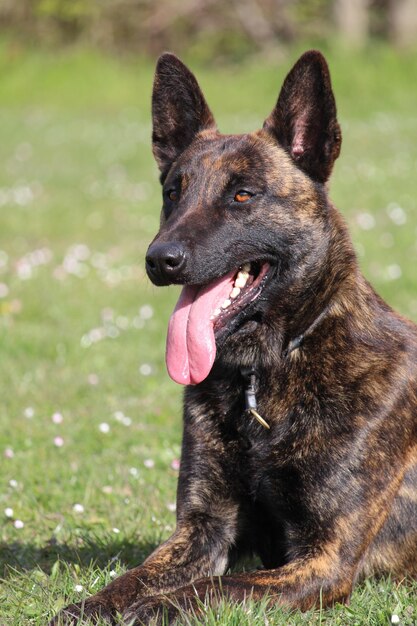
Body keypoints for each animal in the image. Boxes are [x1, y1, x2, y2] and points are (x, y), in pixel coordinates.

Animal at [52, 50, 416, 624]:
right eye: (172, 193)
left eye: (243, 195)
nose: (160, 259)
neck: (266, 373)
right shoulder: (202, 531)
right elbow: (133, 579)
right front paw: (93, 606)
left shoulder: (325, 560)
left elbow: (213, 588)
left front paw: (156, 607)